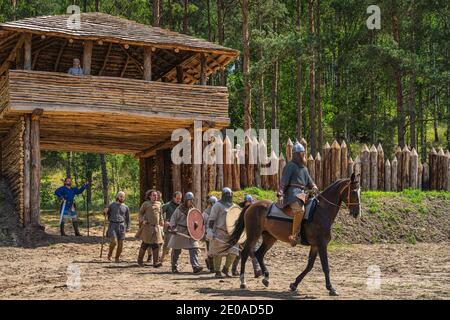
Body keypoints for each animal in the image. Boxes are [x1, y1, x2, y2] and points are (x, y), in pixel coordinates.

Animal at [229, 174, 362, 296]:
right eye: (353, 192)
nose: (357, 213)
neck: (320, 211)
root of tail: (251, 205)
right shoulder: (322, 244)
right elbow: (325, 266)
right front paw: (331, 288)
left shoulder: (315, 246)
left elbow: (309, 266)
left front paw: (294, 284)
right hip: (253, 235)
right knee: (245, 253)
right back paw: (243, 282)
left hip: (270, 238)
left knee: (259, 254)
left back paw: (266, 278)